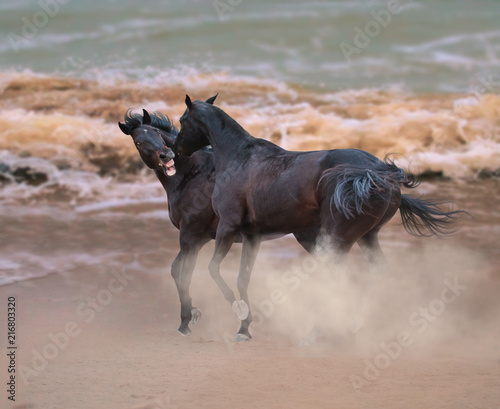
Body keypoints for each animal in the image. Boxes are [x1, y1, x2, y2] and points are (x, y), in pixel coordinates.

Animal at [119, 108, 318, 338]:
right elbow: (176, 269)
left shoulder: (191, 233)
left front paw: (187, 321)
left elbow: (186, 273)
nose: (166, 155)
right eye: (138, 142)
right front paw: (193, 313)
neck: (193, 175)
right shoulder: (201, 237)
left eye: (157, 133)